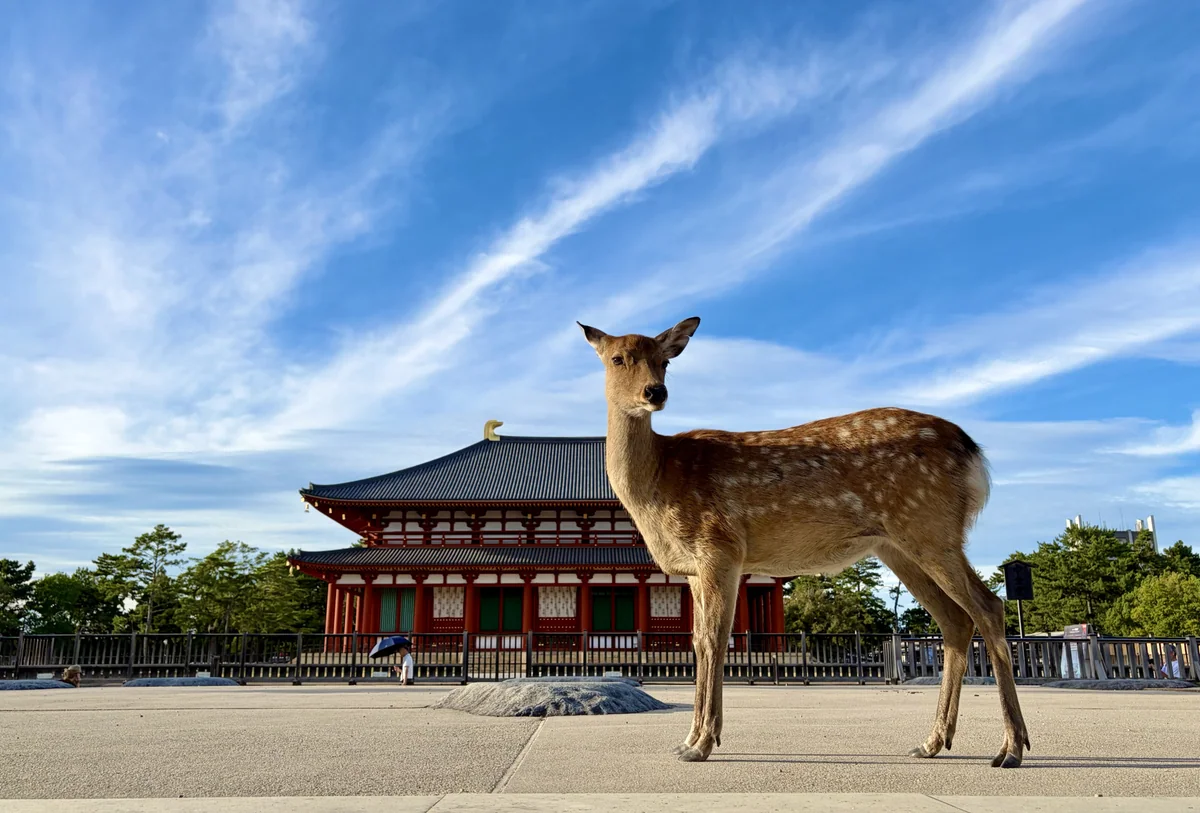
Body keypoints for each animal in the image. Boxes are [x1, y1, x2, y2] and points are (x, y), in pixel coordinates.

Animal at [578, 316, 1030, 768]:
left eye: (664, 361)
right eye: (617, 358)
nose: (655, 392)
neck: (658, 482)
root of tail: (973, 453)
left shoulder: (720, 546)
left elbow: (714, 640)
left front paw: (702, 742)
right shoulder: (692, 567)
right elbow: (698, 643)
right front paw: (689, 739)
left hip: (931, 526)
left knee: (989, 606)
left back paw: (1011, 748)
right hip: (899, 545)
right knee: (955, 621)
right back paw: (932, 742)